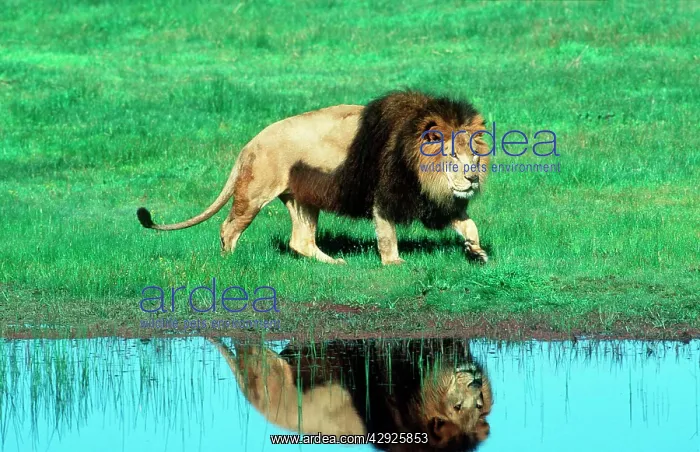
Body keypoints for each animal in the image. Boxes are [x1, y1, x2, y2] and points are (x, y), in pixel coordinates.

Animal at [137, 91, 490, 264]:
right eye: (452, 157)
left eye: (474, 155)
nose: (472, 179)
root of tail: (249, 144)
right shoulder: (384, 196)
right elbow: (387, 235)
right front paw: (394, 264)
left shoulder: (435, 201)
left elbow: (470, 224)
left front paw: (476, 251)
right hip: (254, 193)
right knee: (228, 227)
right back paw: (229, 263)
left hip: (301, 197)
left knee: (300, 241)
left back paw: (334, 263)